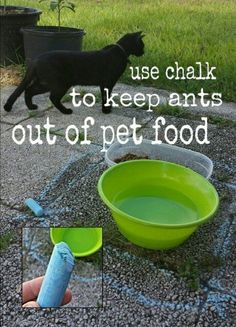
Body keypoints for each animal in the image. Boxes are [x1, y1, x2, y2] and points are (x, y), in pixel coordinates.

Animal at [5, 31, 146, 115]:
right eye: (142, 45)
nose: (144, 52)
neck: (121, 51)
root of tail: (36, 59)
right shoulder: (107, 83)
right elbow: (106, 97)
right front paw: (106, 110)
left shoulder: (106, 84)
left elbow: (107, 97)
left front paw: (108, 108)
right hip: (59, 83)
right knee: (52, 97)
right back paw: (65, 111)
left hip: (45, 83)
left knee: (29, 90)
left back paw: (31, 107)